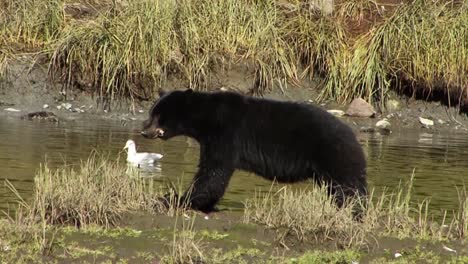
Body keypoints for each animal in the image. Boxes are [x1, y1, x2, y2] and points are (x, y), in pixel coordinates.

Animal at [141, 89, 368, 213]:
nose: (144, 131)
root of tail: (353, 137)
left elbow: (213, 172)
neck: (206, 118)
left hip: (334, 155)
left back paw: (354, 211)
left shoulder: (225, 134)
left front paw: (177, 199)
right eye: (152, 113)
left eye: (158, 116)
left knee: (347, 187)